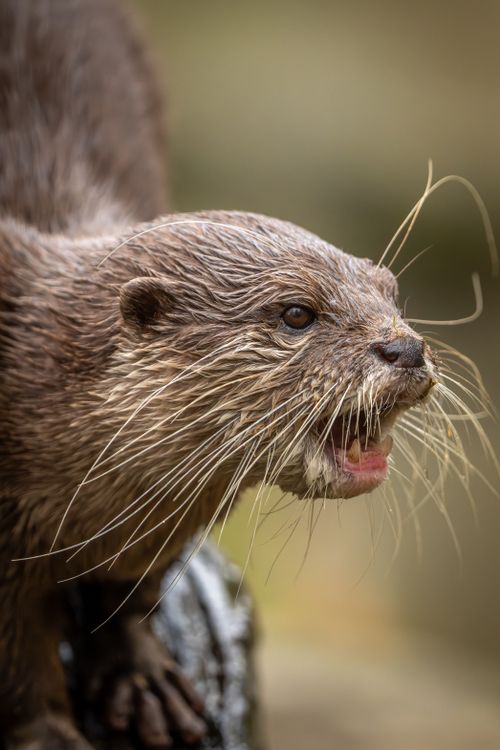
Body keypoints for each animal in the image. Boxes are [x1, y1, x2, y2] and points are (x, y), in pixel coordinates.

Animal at [0, 1, 448, 750]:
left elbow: (130, 593)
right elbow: (18, 656)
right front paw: (50, 735)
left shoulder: (154, 530)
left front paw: (140, 676)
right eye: (297, 313)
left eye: (390, 290)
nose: (405, 348)